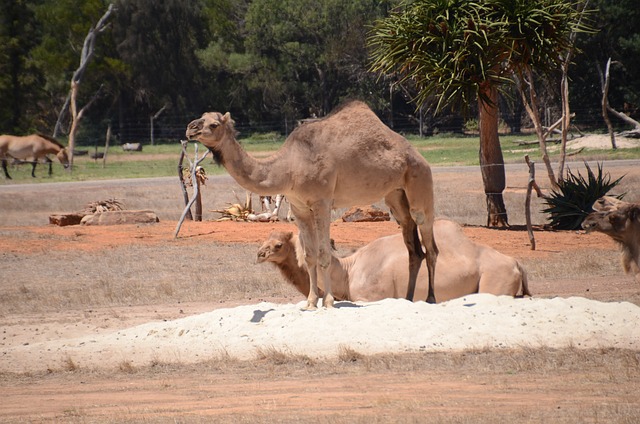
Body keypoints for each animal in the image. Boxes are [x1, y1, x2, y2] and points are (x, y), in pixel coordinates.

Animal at [182, 101, 438, 310]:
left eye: (214, 124)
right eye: (201, 116)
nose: (190, 128)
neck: (289, 167)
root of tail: (418, 156)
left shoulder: (322, 202)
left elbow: (324, 254)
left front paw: (329, 302)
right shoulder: (299, 208)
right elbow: (309, 255)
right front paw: (310, 302)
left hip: (420, 180)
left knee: (429, 241)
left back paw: (431, 298)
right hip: (395, 195)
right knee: (413, 247)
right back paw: (407, 298)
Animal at [255, 219, 528, 302]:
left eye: (278, 245)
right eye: (266, 238)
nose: (260, 254)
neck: (348, 270)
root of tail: (517, 263)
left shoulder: (371, 298)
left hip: (494, 281)